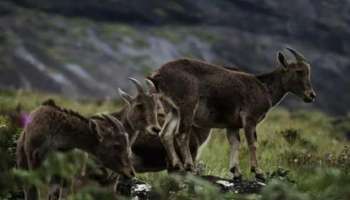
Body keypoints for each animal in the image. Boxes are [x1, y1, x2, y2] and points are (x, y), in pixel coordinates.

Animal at [146, 47, 316, 180]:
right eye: (299, 71)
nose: (311, 95)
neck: (264, 88)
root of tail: (157, 76)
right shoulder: (249, 119)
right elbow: (252, 143)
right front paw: (258, 172)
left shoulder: (232, 125)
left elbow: (235, 143)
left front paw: (236, 172)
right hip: (187, 106)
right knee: (181, 134)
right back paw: (190, 167)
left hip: (172, 110)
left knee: (165, 134)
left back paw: (178, 165)